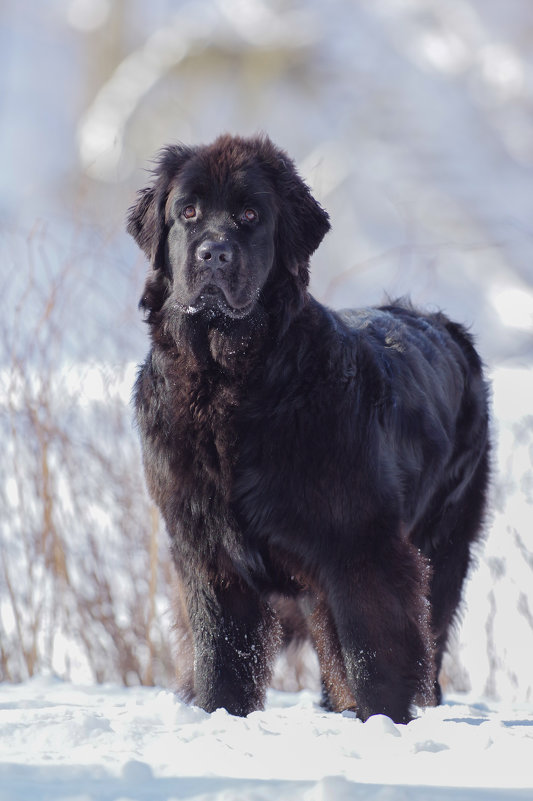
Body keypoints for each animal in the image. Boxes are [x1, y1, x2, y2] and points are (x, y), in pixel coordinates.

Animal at [127, 134, 488, 720]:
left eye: (251, 215)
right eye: (188, 212)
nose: (214, 253)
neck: (229, 384)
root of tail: (446, 327)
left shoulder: (361, 548)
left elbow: (374, 654)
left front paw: (382, 724)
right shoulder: (208, 552)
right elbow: (221, 656)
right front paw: (221, 717)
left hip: (443, 543)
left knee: (424, 642)